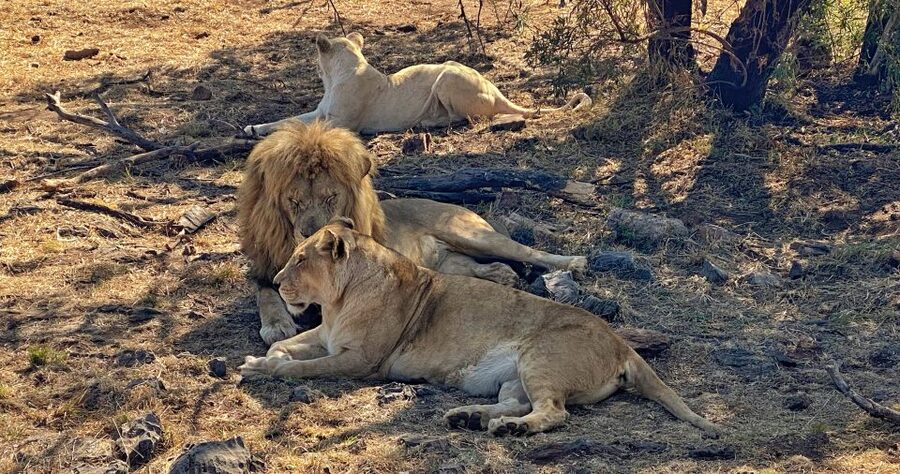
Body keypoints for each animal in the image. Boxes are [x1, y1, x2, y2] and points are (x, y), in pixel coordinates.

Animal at [237, 120, 587, 345]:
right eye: (294, 201)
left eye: (330, 198)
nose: (312, 234)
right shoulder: (263, 269)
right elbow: (266, 293)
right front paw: (277, 323)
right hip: (451, 261)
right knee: (485, 268)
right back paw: (501, 276)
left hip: (473, 235)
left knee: (528, 252)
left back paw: (573, 262)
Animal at [239, 219, 721, 438]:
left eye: (301, 258)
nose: (277, 281)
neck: (338, 301)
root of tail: (621, 343)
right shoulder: (324, 336)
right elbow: (291, 347)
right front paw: (266, 357)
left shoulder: (362, 361)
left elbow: (303, 369)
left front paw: (265, 368)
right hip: (514, 378)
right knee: (515, 403)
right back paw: (469, 417)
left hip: (540, 358)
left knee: (554, 412)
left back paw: (508, 429)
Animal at [243, 32, 591, 136]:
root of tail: (497, 91)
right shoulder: (320, 113)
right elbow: (288, 119)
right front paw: (253, 128)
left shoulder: (343, 123)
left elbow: (301, 127)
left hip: (448, 77)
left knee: (467, 118)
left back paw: (426, 123)